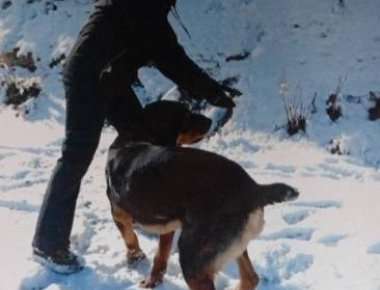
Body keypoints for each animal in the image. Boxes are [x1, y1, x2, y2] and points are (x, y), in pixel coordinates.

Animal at [105, 100, 298, 290]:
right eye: (186, 115)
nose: (210, 120)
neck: (136, 135)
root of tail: (253, 188)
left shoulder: (118, 213)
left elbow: (130, 237)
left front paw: (135, 257)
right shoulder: (167, 227)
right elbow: (161, 254)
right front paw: (153, 279)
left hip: (193, 259)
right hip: (233, 246)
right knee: (251, 278)